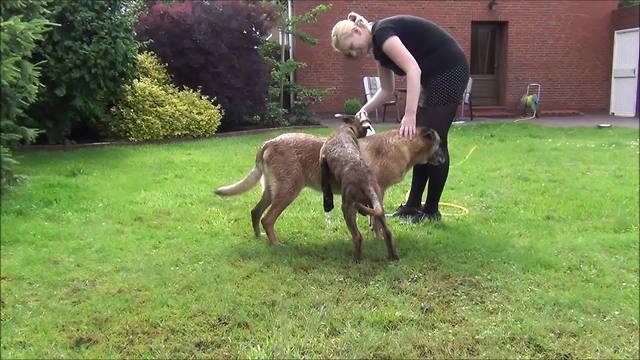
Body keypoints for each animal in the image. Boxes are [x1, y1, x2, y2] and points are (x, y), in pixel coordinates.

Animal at [215, 126, 440, 248]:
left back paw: (259, 238)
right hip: (288, 191)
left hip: (271, 191)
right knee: (267, 219)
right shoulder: (379, 192)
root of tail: (269, 142)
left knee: (255, 212)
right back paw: (276, 244)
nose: (445, 160)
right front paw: (378, 237)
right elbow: (377, 220)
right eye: (440, 145)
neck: (403, 145)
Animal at [322, 116, 398, 260]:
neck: (346, 129)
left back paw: (356, 259)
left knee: (357, 237)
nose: (368, 128)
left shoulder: (322, 157)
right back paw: (393, 256)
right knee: (387, 232)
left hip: (347, 207)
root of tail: (366, 183)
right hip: (379, 206)